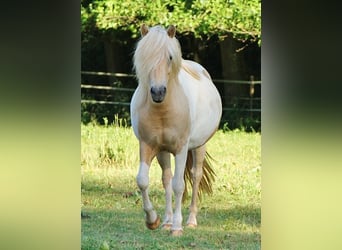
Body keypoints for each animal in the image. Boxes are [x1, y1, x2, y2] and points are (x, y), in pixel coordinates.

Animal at [130, 23, 222, 236]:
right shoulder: (147, 145)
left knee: (195, 176)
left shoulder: (181, 148)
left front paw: (178, 227)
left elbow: (179, 185)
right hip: (163, 151)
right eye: (145, 57)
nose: (158, 92)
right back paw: (167, 221)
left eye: (170, 57)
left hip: (199, 146)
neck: (163, 110)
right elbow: (143, 180)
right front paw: (153, 220)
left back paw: (191, 221)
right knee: (166, 179)